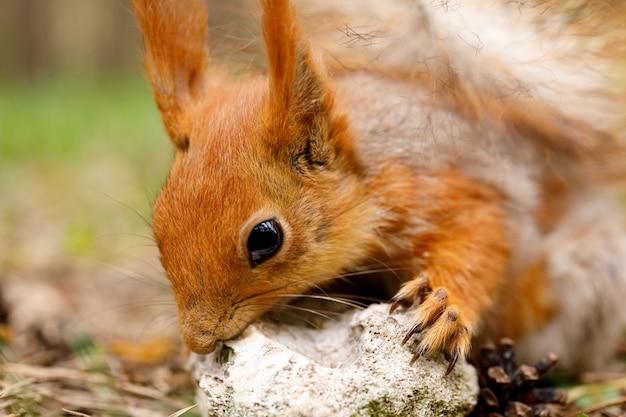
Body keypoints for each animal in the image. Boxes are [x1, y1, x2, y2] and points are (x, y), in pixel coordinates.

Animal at [132, 0, 624, 374]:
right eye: (158, 223)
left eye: (264, 238)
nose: (198, 339)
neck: (370, 176)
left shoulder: (450, 191)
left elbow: (482, 241)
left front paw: (445, 310)